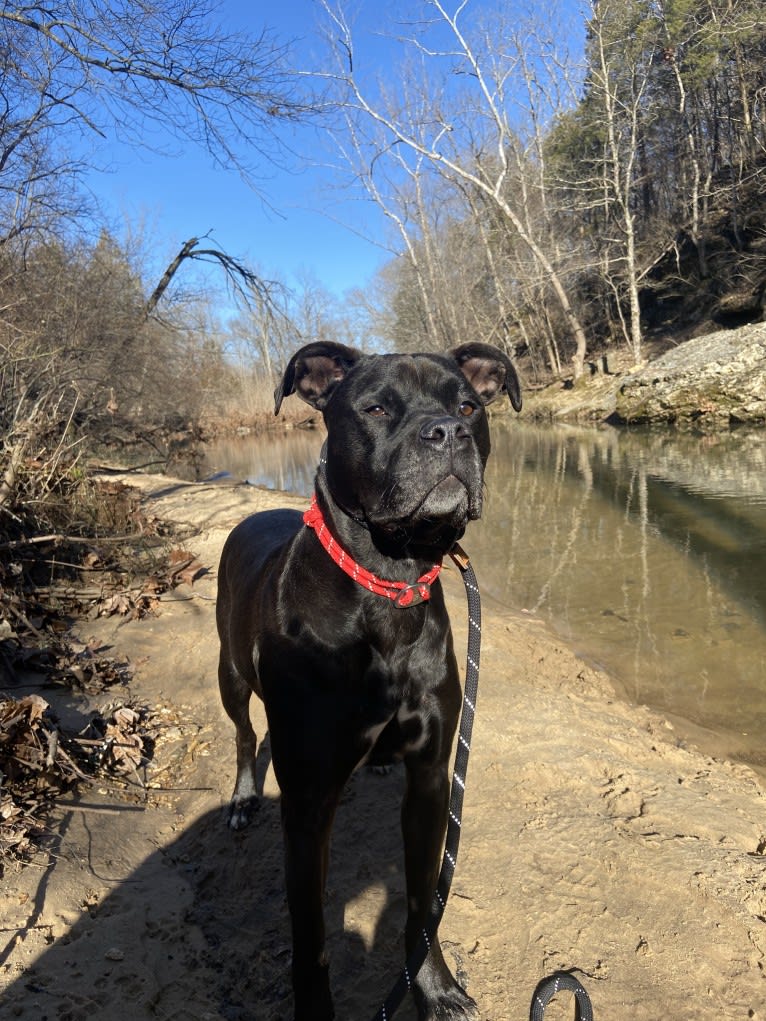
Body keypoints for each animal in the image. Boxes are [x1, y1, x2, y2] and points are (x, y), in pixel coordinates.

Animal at [218, 345, 527, 1021]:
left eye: (470, 405)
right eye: (377, 408)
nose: (448, 432)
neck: (389, 581)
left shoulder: (432, 779)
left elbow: (421, 901)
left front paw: (432, 987)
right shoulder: (308, 807)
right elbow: (311, 940)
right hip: (230, 673)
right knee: (243, 732)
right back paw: (244, 795)